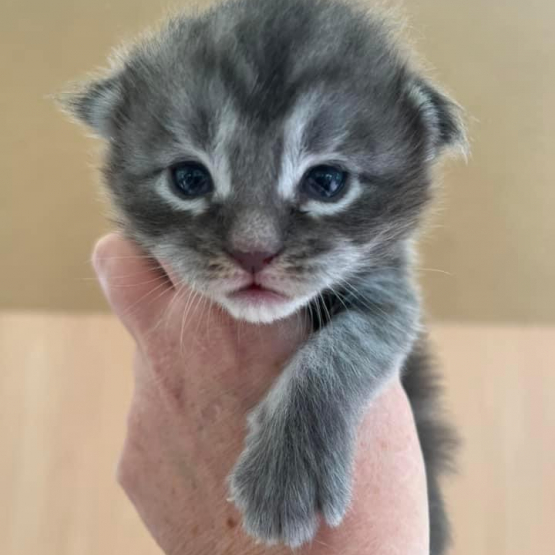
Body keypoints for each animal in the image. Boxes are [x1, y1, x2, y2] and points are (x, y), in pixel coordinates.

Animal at [59, 0, 464, 552]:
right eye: (189, 179)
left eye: (327, 182)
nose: (253, 253)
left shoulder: (393, 292)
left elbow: (348, 348)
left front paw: (289, 470)